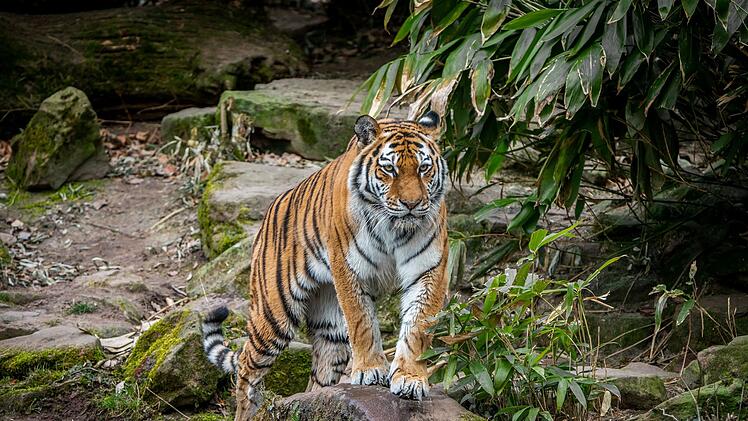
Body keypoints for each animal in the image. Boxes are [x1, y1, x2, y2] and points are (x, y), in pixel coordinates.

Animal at [201, 111, 449, 420]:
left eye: (424, 168)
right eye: (389, 169)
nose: (412, 204)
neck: (394, 227)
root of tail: (269, 213)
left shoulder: (429, 270)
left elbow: (418, 326)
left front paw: (410, 378)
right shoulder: (349, 268)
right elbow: (362, 322)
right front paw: (370, 371)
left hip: (331, 328)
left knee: (318, 378)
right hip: (274, 314)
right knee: (247, 364)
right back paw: (247, 411)